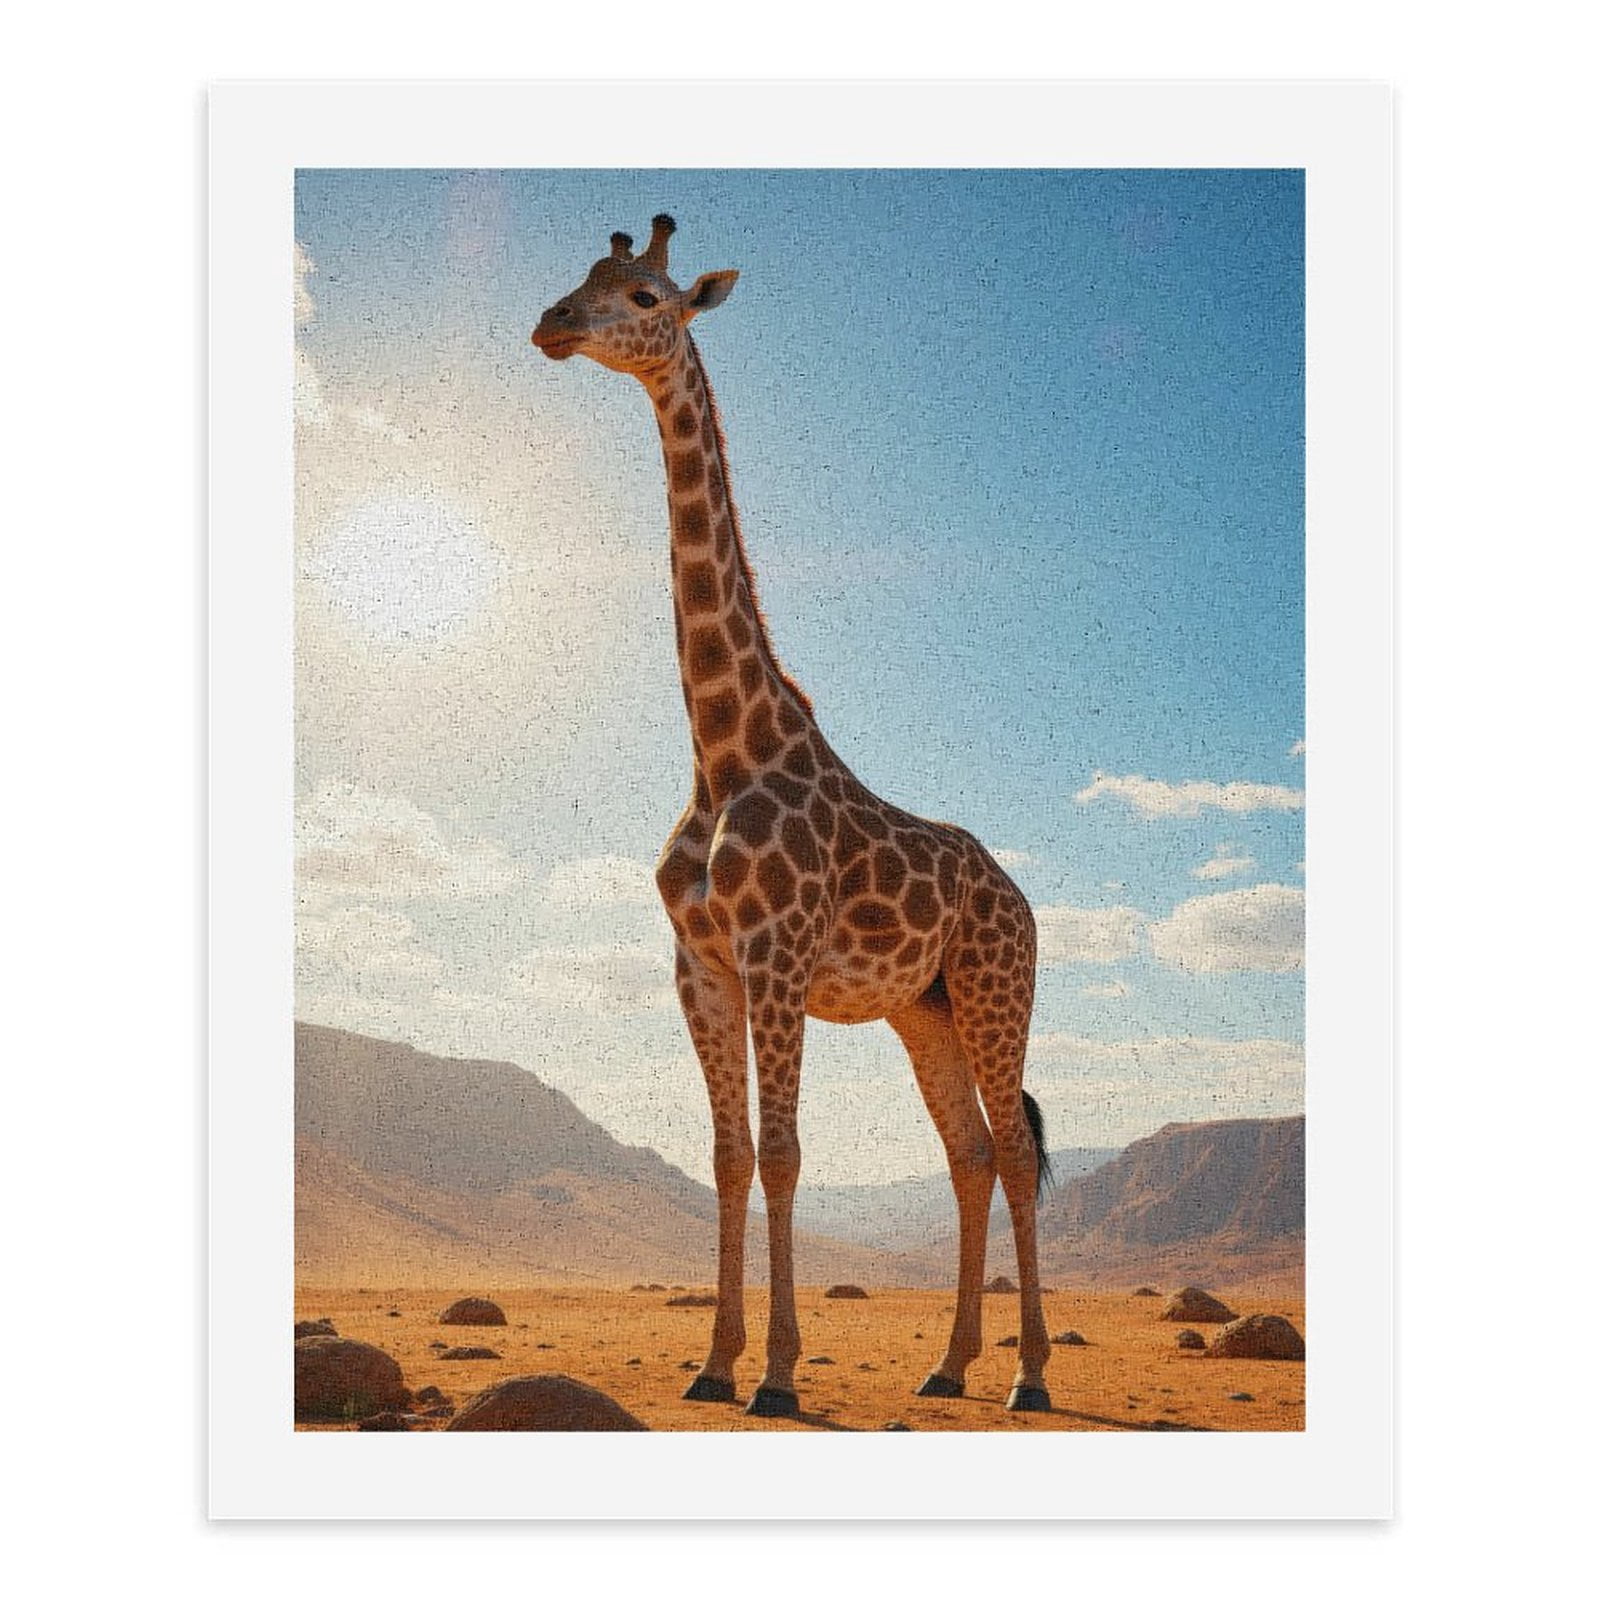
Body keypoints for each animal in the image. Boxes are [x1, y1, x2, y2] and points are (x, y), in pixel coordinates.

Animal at [531, 215, 1054, 1418]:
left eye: (644, 294)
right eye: (581, 277)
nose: (551, 324)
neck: (724, 751)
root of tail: (1022, 899)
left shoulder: (775, 955)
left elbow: (783, 1153)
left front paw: (773, 1373)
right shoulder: (701, 965)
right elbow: (729, 1154)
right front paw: (713, 1364)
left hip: (998, 990)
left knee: (1011, 1150)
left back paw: (1029, 1378)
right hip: (926, 1010)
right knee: (967, 1154)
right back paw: (948, 1366)